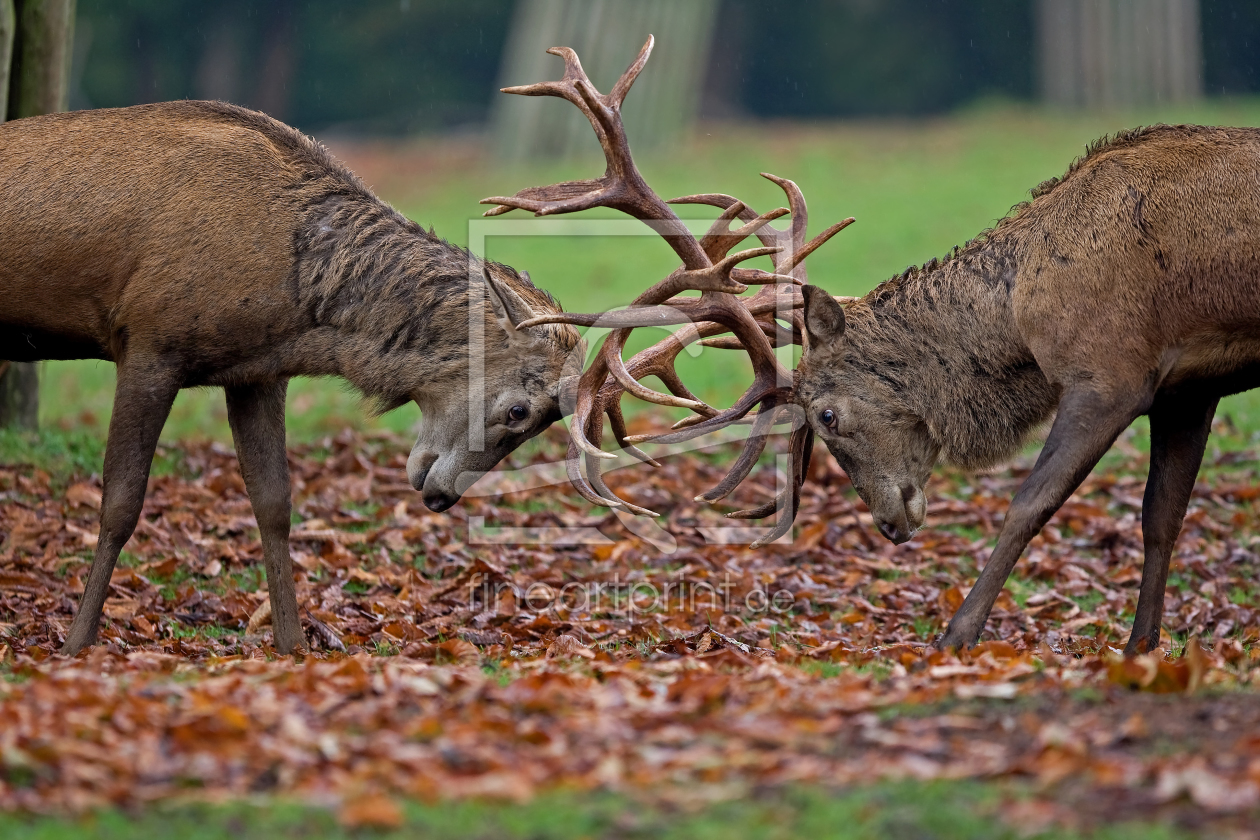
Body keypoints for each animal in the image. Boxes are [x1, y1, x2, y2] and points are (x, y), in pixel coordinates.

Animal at [2, 100, 582, 654]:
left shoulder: (256, 373)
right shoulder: (148, 342)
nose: (442, 496)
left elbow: (274, 504)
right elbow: (121, 503)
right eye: (519, 411)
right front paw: (76, 642)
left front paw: (293, 643)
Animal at [791, 128, 1260, 654]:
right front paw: (1141, 645)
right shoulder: (1187, 390)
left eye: (827, 416)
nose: (888, 526)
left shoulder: (1111, 376)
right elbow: (1162, 517)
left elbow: (1029, 504)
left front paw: (956, 634)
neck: (1020, 314)